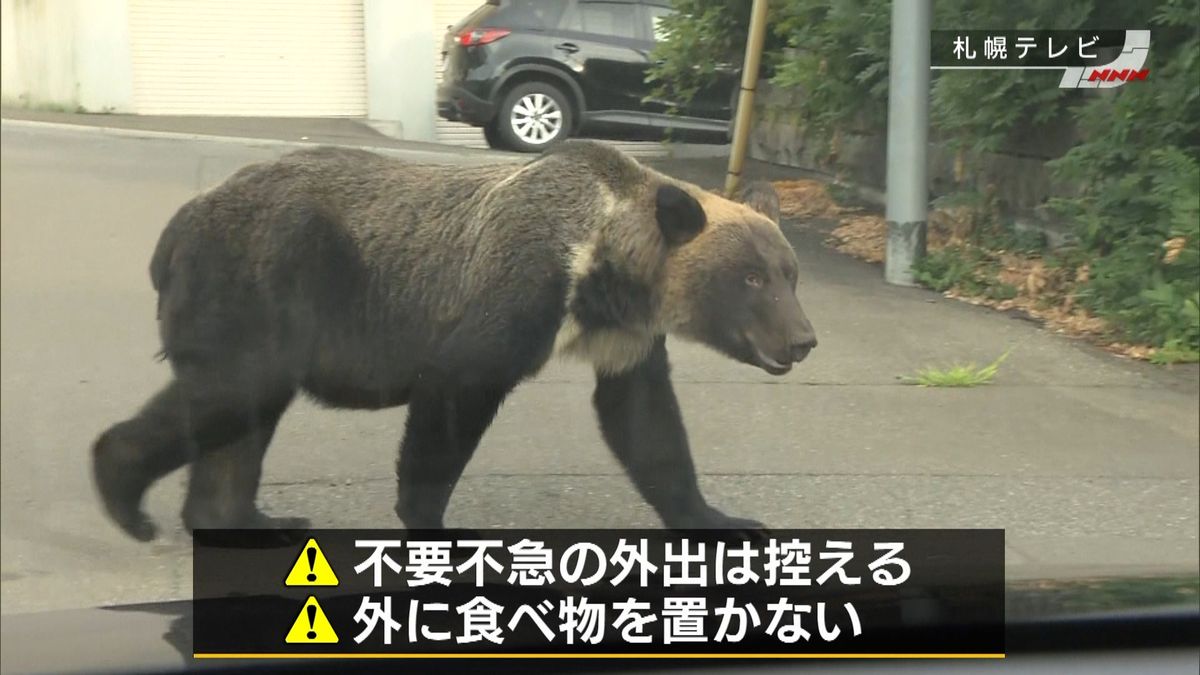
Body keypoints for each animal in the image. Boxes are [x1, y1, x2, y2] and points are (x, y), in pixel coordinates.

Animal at [91, 139, 816, 538]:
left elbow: (646, 422)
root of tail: (175, 229)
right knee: (233, 390)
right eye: (751, 277)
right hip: (258, 277)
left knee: (242, 418)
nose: (802, 339)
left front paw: (724, 519)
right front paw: (433, 519)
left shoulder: (623, 335)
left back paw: (246, 518)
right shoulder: (519, 287)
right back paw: (124, 491)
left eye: (789, 273)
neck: (602, 266)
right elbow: (456, 393)